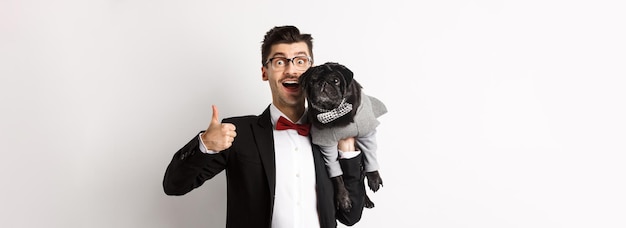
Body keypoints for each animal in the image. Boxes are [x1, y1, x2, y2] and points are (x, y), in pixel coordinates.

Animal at [298, 61, 386, 211]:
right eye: (312, 81)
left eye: (335, 80)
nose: (322, 83)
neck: (334, 112)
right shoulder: (327, 146)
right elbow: (337, 177)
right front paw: (343, 199)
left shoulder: (366, 130)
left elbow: (370, 154)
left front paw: (374, 178)